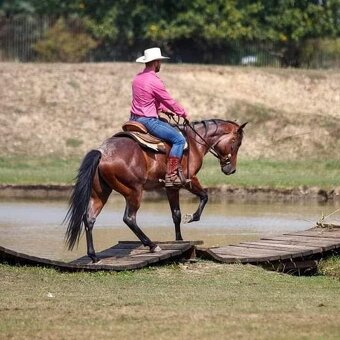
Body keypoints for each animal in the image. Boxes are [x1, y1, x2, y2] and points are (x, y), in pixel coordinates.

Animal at [65, 118, 247, 262]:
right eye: (236, 143)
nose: (231, 169)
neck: (194, 142)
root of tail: (102, 152)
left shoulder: (171, 188)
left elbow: (176, 214)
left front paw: (179, 240)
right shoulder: (189, 180)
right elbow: (204, 196)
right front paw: (192, 217)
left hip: (100, 193)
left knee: (89, 219)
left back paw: (93, 256)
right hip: (134, 192)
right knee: (129, 218)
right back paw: (152, 245)